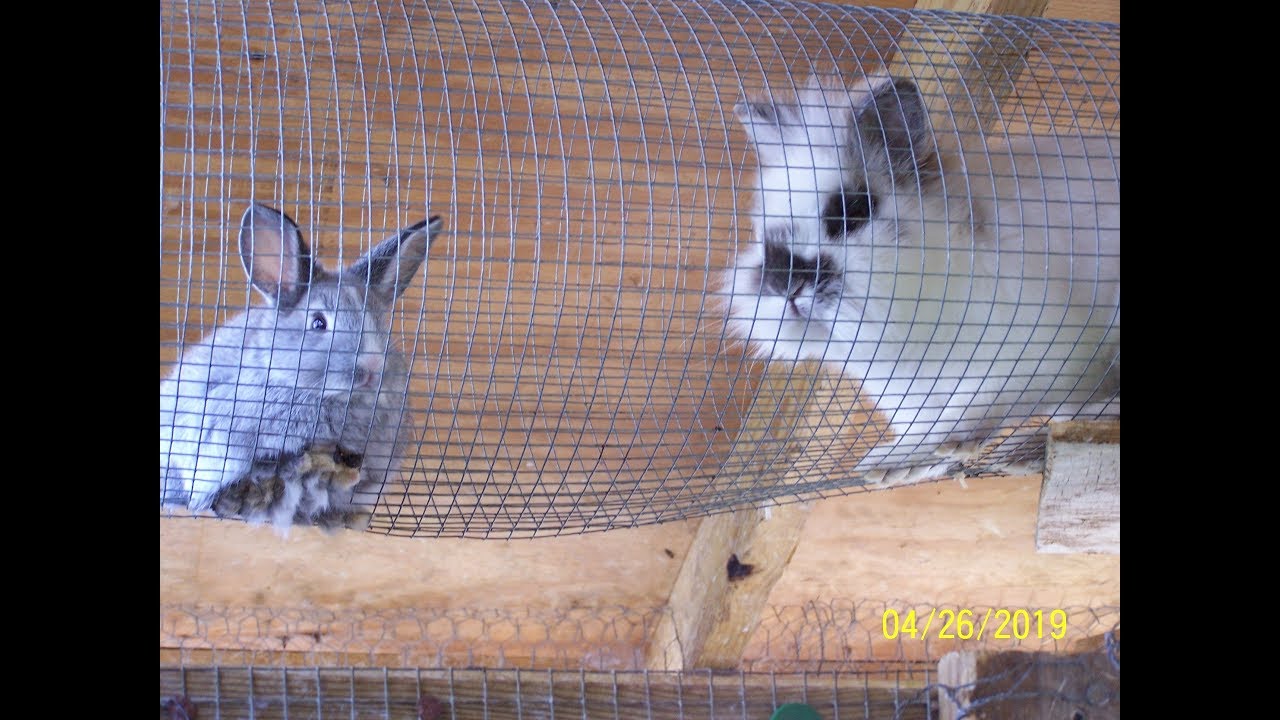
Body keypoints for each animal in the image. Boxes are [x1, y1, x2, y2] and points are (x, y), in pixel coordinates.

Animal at [723, 75, 1119, 484]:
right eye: (762, 232)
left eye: (854, 210)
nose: (785, 285)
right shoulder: (913, 399)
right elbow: (922, 430)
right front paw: (891, 464)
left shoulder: (1032, 347)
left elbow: (973, 402)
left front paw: (944, 445)